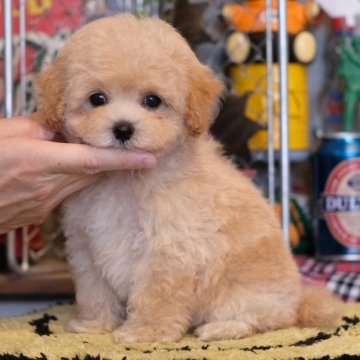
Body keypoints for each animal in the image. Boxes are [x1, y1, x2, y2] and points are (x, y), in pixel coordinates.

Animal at [35, 14, 342, 342]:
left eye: (152, 100)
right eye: (97, 99)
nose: (123, 129)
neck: (124, 178)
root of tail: (297, 302)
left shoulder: (170, 249)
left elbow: (156, 295)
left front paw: (145, 332)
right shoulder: (86, 244)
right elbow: (94, 289)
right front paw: (94, 324)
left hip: (244, 293)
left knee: (264, 319)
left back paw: (221, 328)